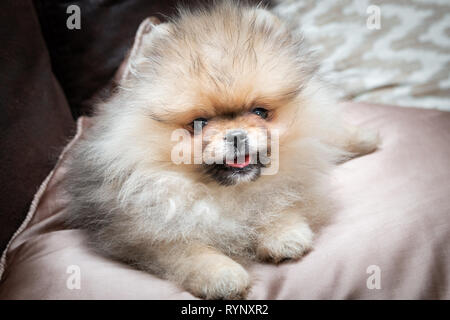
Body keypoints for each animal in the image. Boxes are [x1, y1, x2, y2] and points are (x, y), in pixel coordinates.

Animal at [64, 1, 380, 298]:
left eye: (260, 112)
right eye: (200, 123)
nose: (236, 136)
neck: (229, 195)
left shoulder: (293, 173)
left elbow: (281, 199)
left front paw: (283, 235)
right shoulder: (138, 236)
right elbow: (187, 251)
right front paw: (222, 276)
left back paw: (367, 137)